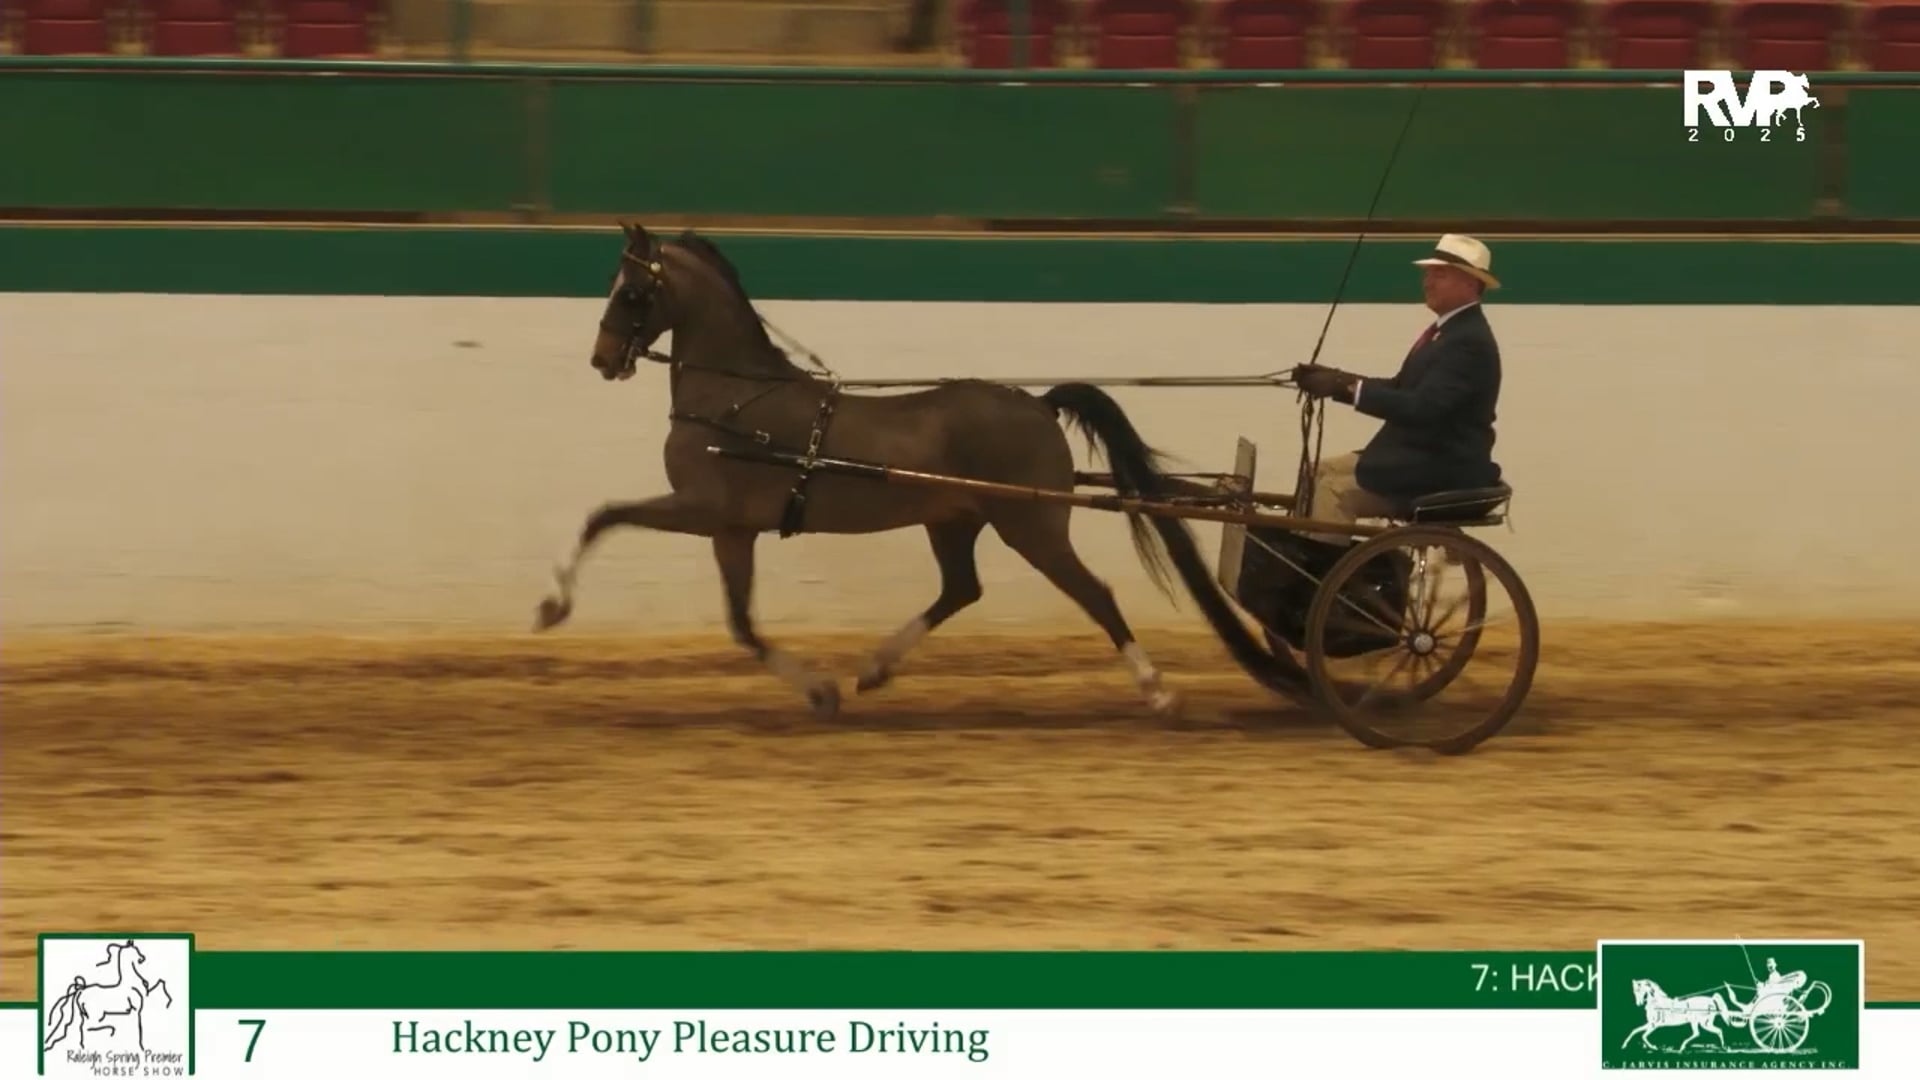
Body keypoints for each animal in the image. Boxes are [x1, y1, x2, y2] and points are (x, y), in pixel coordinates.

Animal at [532, 223, 1308, 719]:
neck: (734, 398)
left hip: (1031, 525)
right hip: (955, 520)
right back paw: (877, 667)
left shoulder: (704, 510)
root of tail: (1037, 405)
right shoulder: (733, 530)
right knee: (961, 588)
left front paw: (552, 606)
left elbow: (605, 517)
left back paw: (1157, 690)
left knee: (1095, 594)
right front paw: (821, 690)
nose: (603, 359)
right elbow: (741, 623)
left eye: (632, 291)